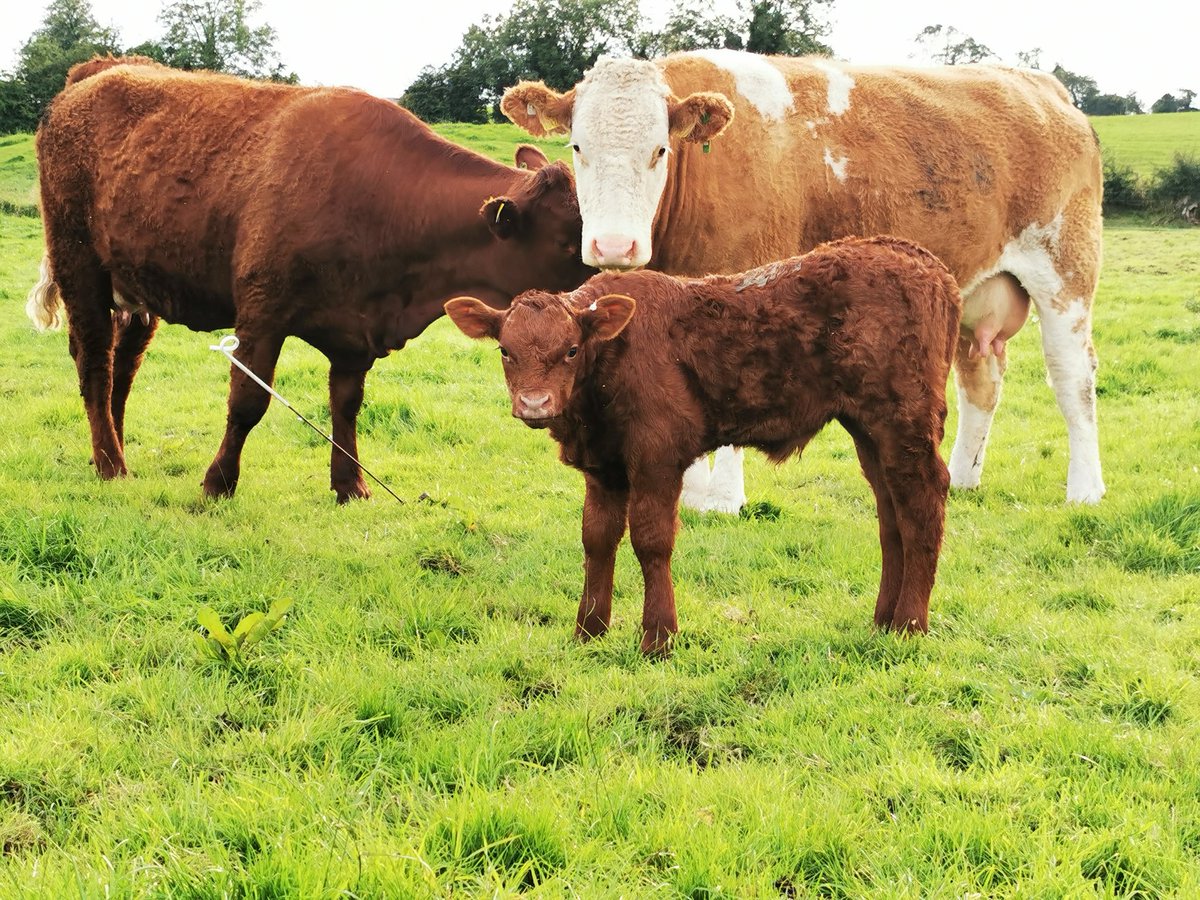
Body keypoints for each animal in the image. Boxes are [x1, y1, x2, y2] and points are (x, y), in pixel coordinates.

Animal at [26, 56, 594, 502]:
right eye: (569, 243)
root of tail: (98, 70)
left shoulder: (356, 331)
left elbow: (346, 406)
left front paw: (350, 486)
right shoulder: (261, 312)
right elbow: (247, 402)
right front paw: (217, 483)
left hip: (138, 288)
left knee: (122, 367)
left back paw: (113, 450)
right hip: (80, 265)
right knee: (95, 364)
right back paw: (110, 464)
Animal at [445, 235, 962, 655]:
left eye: (571, 350)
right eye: (505, 351)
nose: (535, 404)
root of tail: (926, 262)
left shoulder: (656, 455)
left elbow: (651, 539)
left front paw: (658, 638)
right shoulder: (603, 466)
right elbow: (596, 538)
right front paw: (588, 631)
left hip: (905, 419)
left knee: (922, 503)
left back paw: (910, 624)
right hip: (870, 430)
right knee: (891, 514)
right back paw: (883, 622)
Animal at [501, 50, 1105, 511]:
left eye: (660, 150)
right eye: (578, 146)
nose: (613, 246)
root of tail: (1040, 86)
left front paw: (723, 500)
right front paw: (690, 493)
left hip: (1066, 272)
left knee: (1073, 378)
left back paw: (1085, 489)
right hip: (971, 290)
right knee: (981, 382)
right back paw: (961, 480)